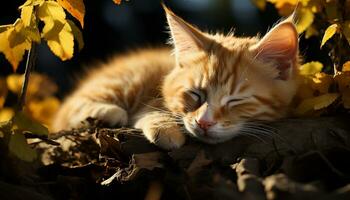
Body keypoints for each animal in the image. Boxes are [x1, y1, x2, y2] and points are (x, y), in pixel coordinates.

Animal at [52, 7, 300, 149]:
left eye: (235, 100)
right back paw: (107, 112)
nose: (204, 122)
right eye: (195, 94)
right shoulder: (154, 97)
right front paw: (167, 128)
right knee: (66, 112)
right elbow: (153, 109)